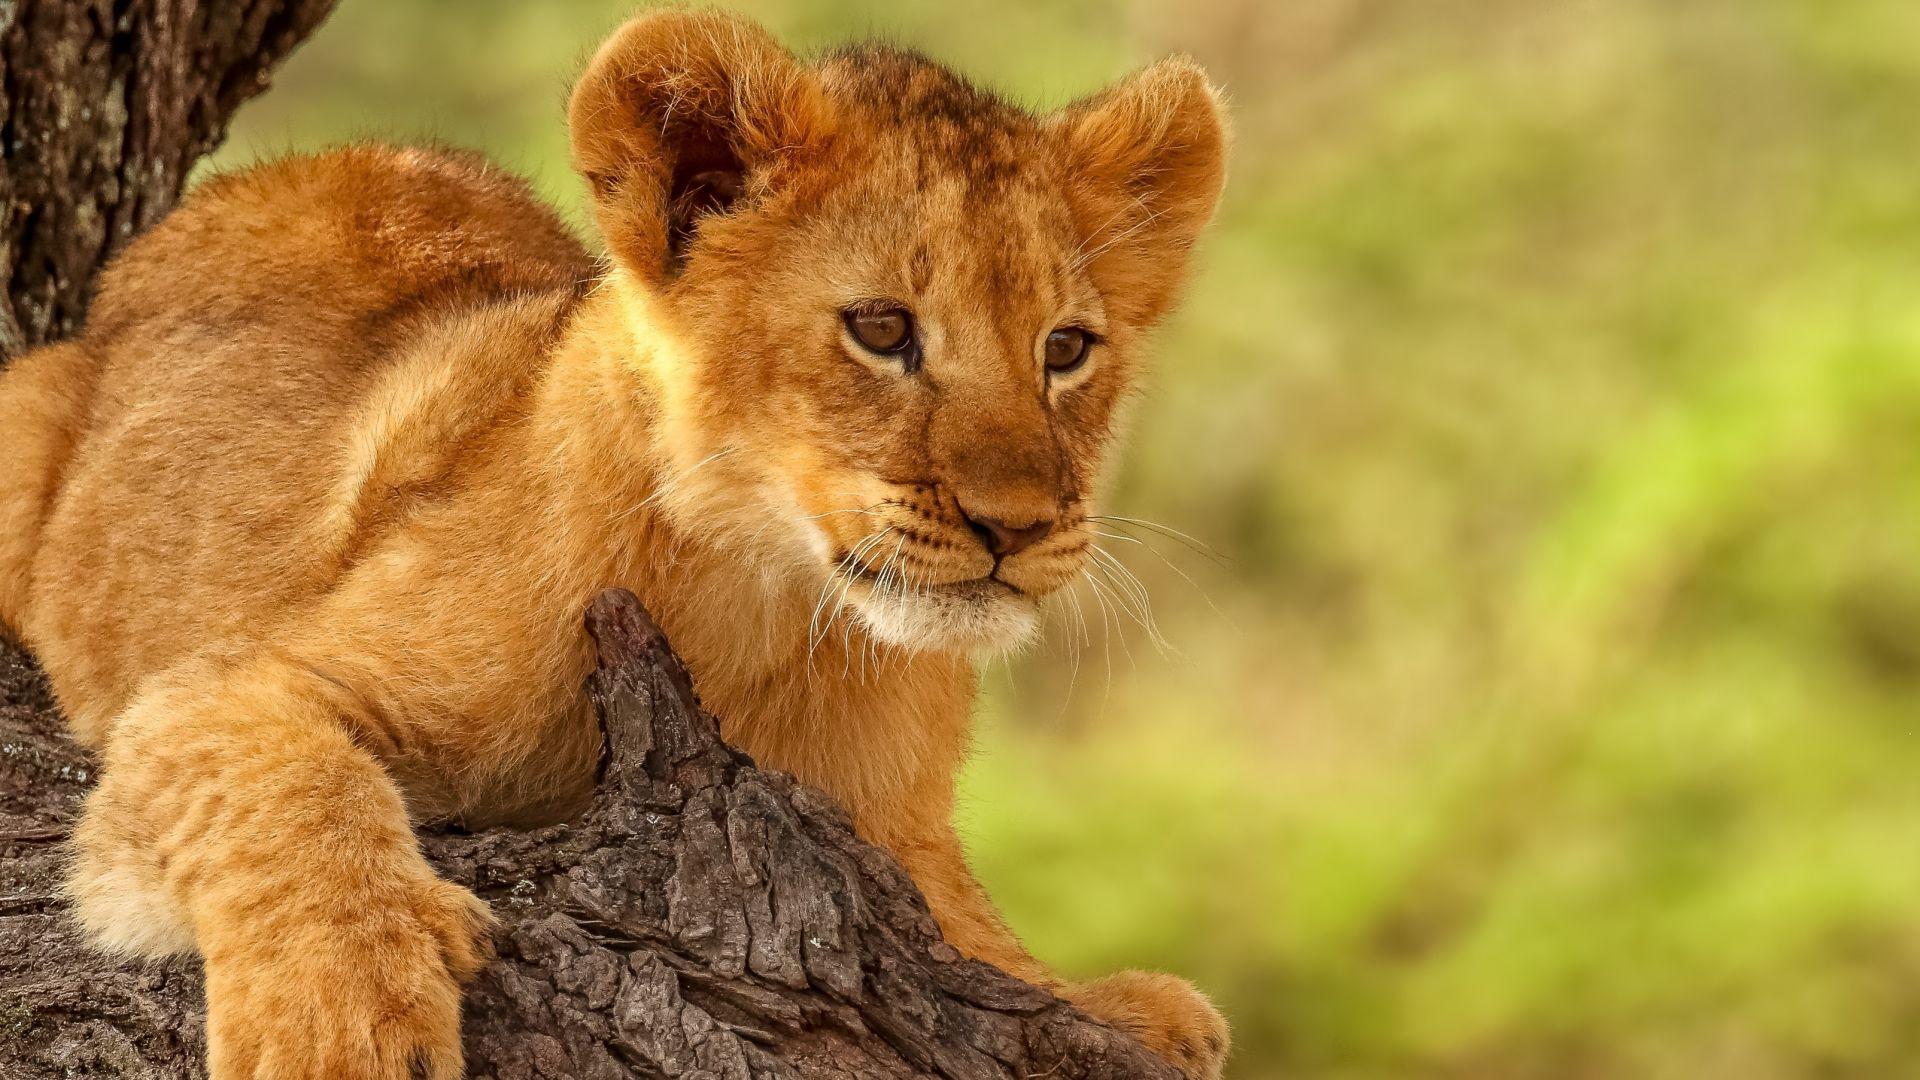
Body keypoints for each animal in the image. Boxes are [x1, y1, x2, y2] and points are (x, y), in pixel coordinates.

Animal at [0, 10, 1230, 1078]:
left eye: (1066, 349)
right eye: (882, 329)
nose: (1017, 527)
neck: (769, 613)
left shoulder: (900, 835)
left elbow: (979, 935)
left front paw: (1118, 1008)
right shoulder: (223, 688)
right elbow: (294, 787)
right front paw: (342, 1023)